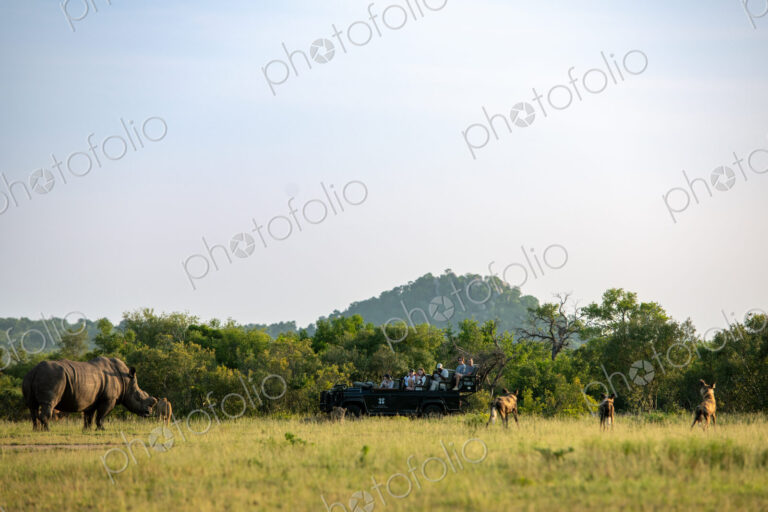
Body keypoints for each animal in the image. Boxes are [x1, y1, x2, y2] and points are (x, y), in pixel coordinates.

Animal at [22, 357, 157, 431]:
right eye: (138, 397)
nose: (148, 413)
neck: (126, 380)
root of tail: (36, 370)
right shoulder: (109, 399)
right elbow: (101, 415)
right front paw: (102, 429)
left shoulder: (92, 399)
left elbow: (89, 416)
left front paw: (86, 430)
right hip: (52, 376)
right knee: (48, 404)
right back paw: (47, 430)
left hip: (29, 377)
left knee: (32, 406)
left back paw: (36, 430)